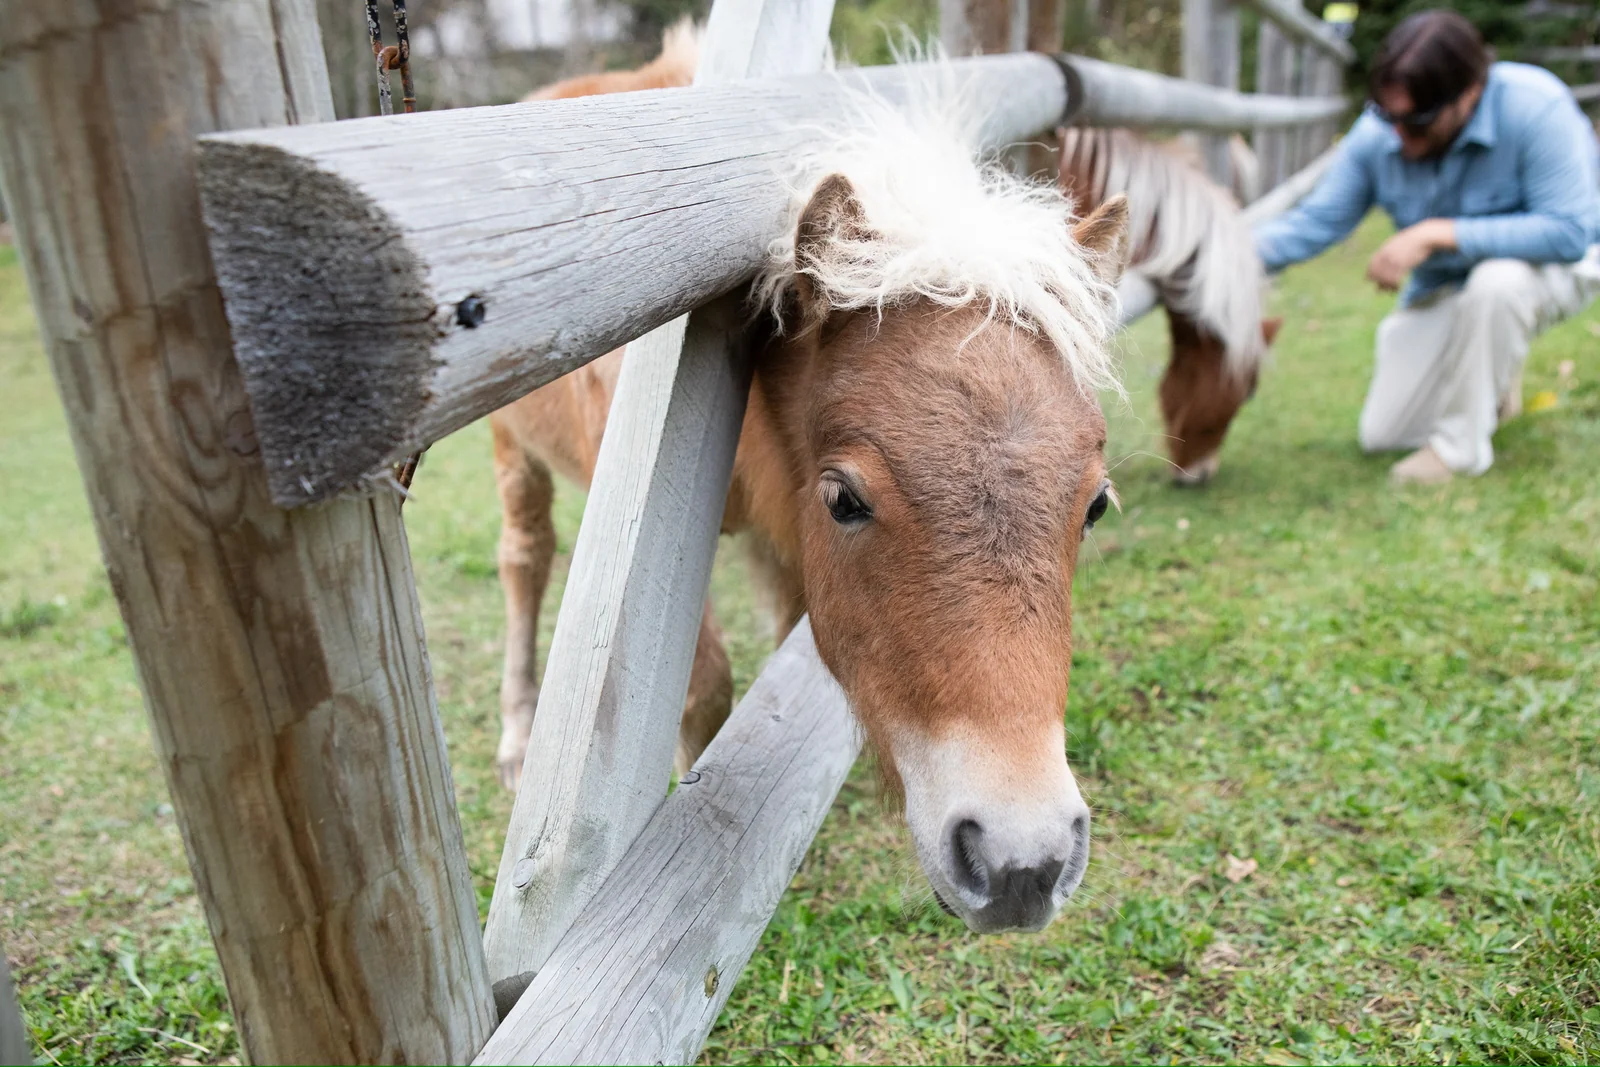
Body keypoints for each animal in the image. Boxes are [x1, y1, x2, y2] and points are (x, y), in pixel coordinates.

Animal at [490, 68, 1132, 933]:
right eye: (844, 499)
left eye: (1094, 505)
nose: (1021, 863)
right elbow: (703, 685)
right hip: (514, 453)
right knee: (524, 561)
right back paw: (517, 731)